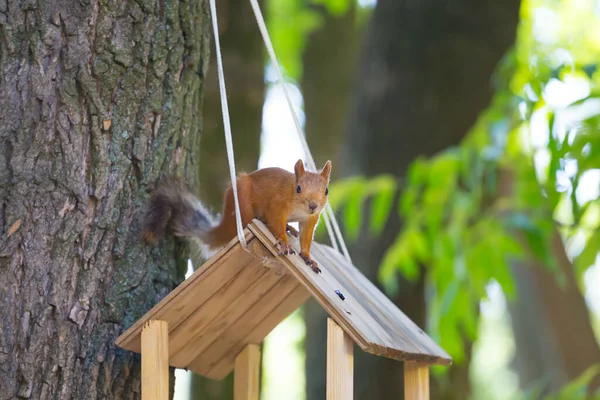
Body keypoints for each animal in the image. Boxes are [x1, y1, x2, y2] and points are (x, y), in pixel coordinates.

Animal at [141, 158, 330, 274]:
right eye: (298, 188)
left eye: (326, 190)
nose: (313, 205)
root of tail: (227, 220)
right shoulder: (277, 206)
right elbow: (276, 222)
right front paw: (283, 242)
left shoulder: (310, 220)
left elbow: (306, 238)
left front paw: (307, 257)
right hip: (243, 201)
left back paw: (290, 228)